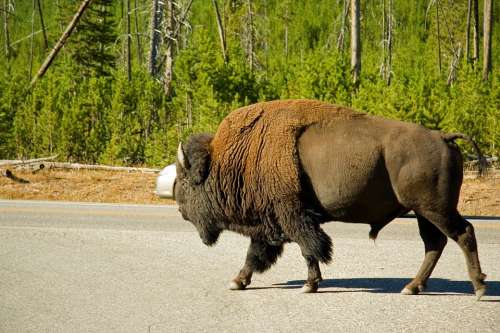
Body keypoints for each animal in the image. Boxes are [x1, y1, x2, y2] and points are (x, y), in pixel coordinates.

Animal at [174, 98, 486, 298]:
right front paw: (238, 281)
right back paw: (412, 287)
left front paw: (308, 285)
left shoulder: (291, 215)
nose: (180, 210)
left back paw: (479, 287)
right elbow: (259, 254)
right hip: (424, 212)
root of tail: (443, 137)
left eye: (187, 181)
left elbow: (308, 248)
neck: (236, 157)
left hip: (434, 208)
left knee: (463, 233)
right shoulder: (272, 223)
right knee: (435, 243)